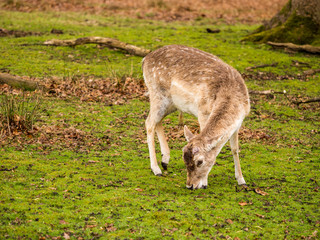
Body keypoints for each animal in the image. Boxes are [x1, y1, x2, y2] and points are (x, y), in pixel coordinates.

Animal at [142, 45, 250, 189]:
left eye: (199, 161)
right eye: (184, 159)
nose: (190, 185)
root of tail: (145, 59)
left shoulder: (238, 122)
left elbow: (235, 149)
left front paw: (241, 180)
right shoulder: (203, 112)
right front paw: (204, 183)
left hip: (171, 102)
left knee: (157, 120)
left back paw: (165, 160)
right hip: (156, 92)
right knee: (149, 122)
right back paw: (156, 169)